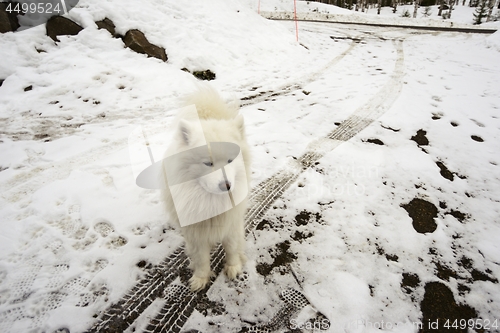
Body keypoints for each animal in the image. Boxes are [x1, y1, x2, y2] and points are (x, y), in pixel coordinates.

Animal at [163, 85, 250, 290]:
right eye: (208, 163)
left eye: (230, 160)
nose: (226, 185)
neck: (211, 202)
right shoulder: (195, 232)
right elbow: (201, 258)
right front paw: (201, 278)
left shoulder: (232, 224)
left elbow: (232, 248)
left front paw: (233, 267)